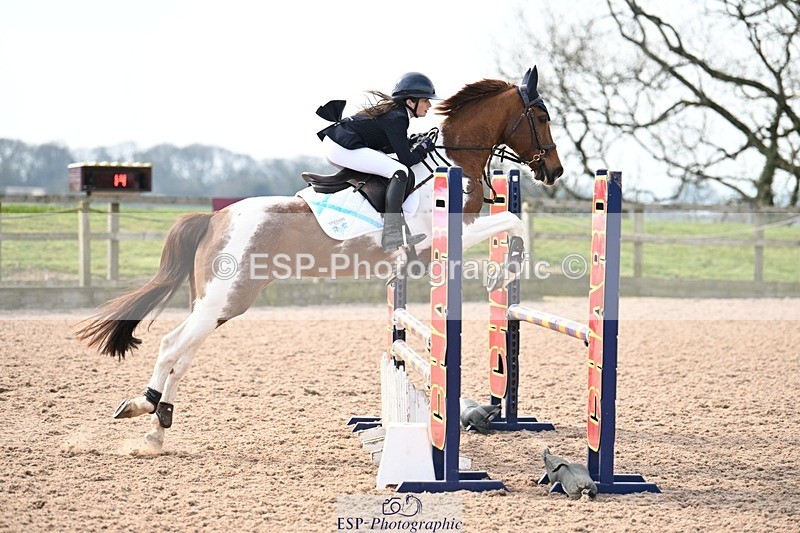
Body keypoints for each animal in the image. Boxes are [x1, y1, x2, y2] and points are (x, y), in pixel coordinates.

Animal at [76, 66, 563, 453]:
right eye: (541, 117)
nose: (554, 171)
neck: (452, 163)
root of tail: (215, 217)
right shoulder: (443, 237)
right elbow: (513, 224)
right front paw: (503, 273)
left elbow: (510, 225)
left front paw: (503, 273)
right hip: (225, 298)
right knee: (171, 345)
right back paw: (144, 407)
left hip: (219, 303)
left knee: (184, 349)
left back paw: (157, 426)